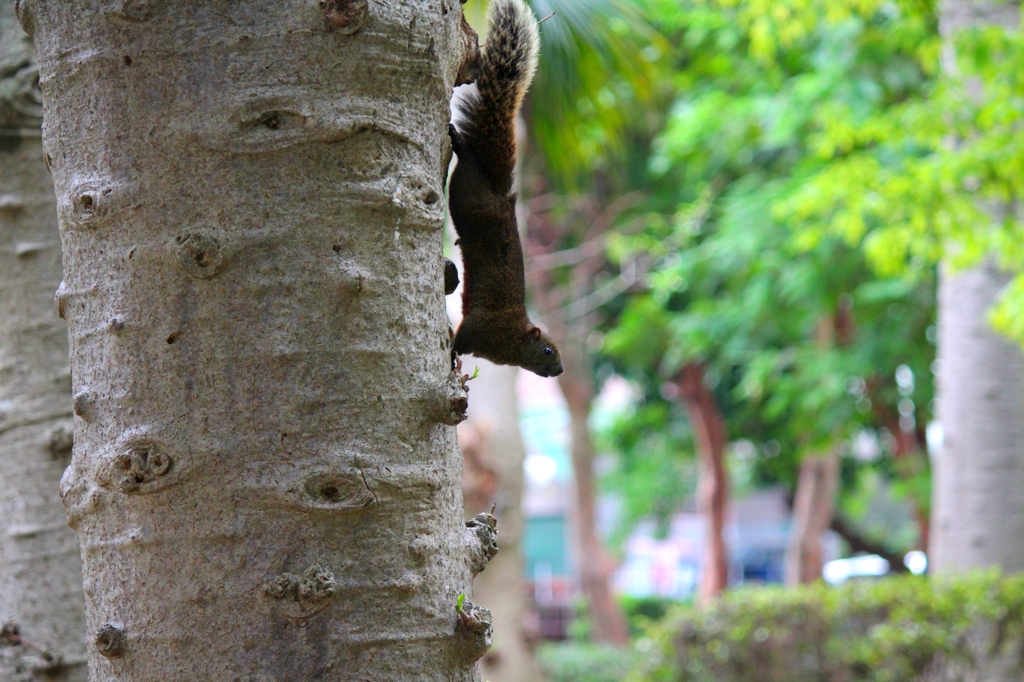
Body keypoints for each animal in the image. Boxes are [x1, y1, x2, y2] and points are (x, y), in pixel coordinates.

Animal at [446, 0, 561, 376]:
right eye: (547, 350)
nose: (560, 370)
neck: (511, 338)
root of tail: (499, 191)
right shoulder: (480, 328)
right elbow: (460, 338)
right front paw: (450, 357)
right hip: (467, 193)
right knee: (466, 160)